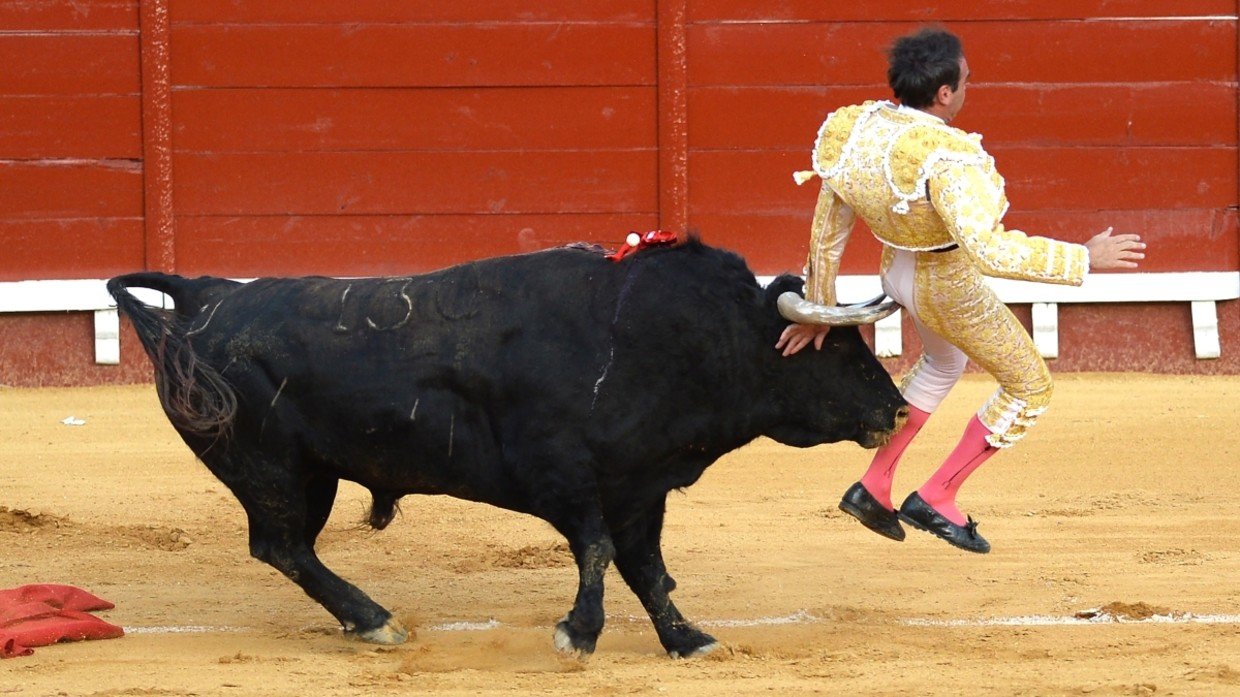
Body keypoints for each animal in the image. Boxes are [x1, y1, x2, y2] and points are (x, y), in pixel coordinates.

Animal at [106, 235, 907, 654]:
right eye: (836, 349)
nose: (898, 409)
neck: (661, 336)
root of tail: (206, 295)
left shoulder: (638, 487)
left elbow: (648, 568)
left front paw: (687, 639)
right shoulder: (565, 478)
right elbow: (599, 552)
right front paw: (579, 633)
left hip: (309, 475)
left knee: (286, 548)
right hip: (273, 469)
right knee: (280, 546)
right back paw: (374, 619)